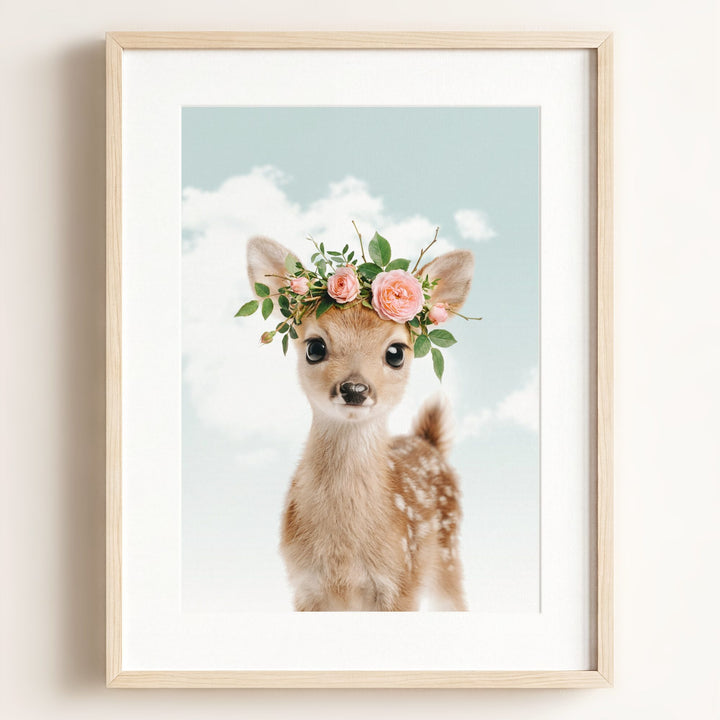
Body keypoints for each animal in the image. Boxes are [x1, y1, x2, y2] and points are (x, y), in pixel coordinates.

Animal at [247, 235, 475, 611]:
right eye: (315, 347)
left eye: (396, 352)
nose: (355, 389)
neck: (343, 555)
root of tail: (428, 442)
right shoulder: (304, 586)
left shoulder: (401, 582)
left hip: (448, 554)